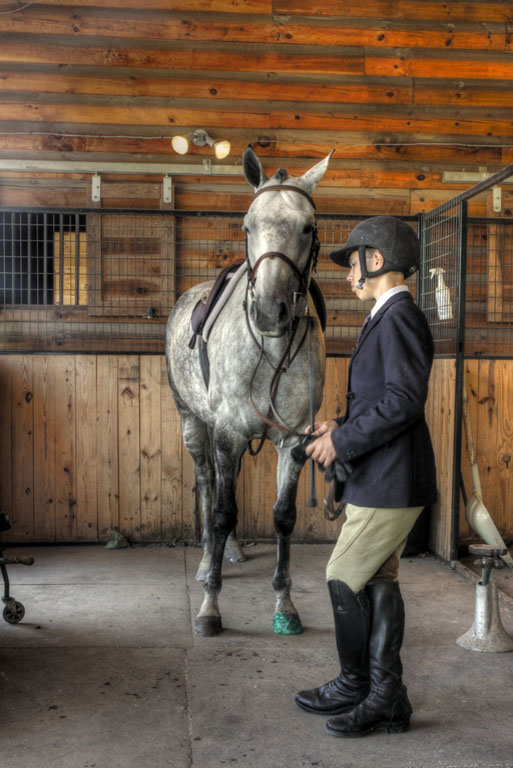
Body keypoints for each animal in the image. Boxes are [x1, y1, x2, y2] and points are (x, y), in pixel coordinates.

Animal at [166, 146, 333, 636]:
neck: (270, 349)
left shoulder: (294, 441)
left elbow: (283, 516)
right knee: (208, 482)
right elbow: (222, 512)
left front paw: (285, 604)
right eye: (247, 226)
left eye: (308, 226)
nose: (270, 311)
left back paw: (233, 551)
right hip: (194, 424)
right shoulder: (226, 433)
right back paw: (208, 559)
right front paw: (210, 607)